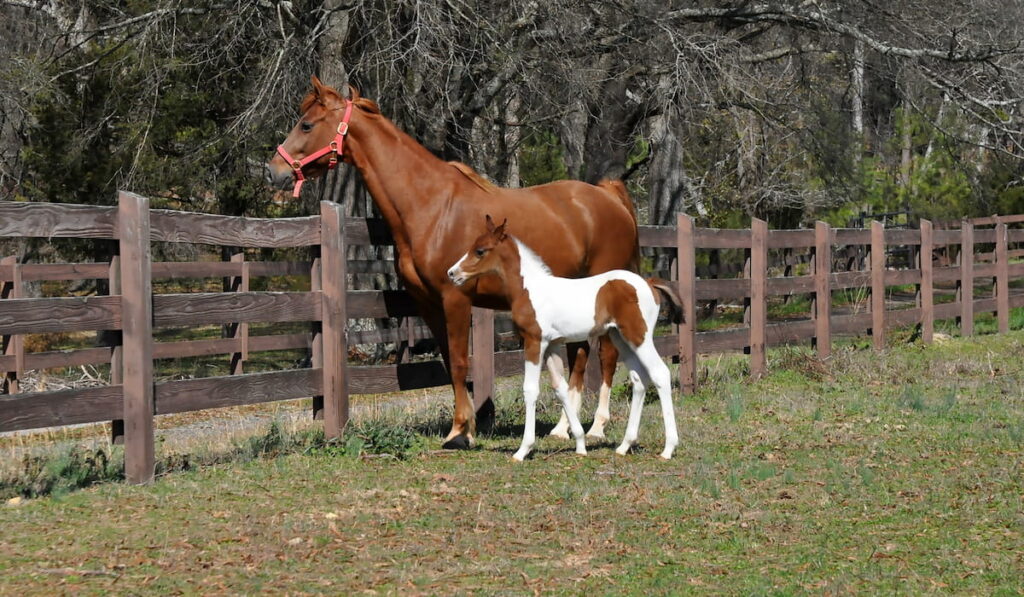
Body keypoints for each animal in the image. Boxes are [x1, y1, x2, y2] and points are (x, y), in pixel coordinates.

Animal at [268, 75, 634, 448]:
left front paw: (461, 433)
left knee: (606, 354)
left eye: (306, 124)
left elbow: (459, 362)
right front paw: (464, 426)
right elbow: (448, 359)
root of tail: (608, 196)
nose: (274, 171)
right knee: (580, 353)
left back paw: (598, 426)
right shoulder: (429, 303)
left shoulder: (456, 298)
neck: (432, 206)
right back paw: (563, 428)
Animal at [450, 216, 684, 462]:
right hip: (620, 338)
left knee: (660, 374)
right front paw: (579, 443)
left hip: (639, 336)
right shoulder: (552, 345)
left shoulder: (534, 341)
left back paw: (668, 448)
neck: (530, 289)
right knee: (639, 379)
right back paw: (624, 445)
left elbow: (530, 390)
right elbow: (561, 388)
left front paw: (523, 449)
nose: (452, 273)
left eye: (480, 251)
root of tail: (648, 283)